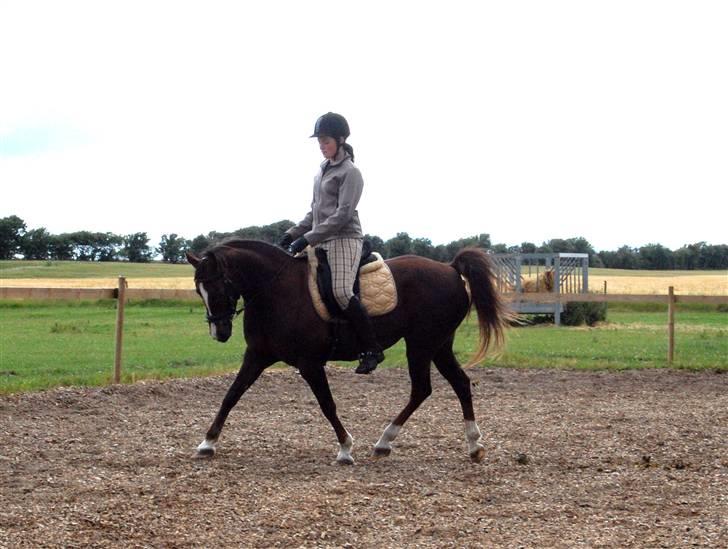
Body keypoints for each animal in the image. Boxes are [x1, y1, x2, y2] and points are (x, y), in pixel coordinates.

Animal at [185, 240, 510, 462]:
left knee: (422, 389)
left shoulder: (310, 363)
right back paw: (472, 445)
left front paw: (345, 448)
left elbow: (327, 405)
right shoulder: (257, 356)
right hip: (439, 346)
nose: (219, 333)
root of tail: (451, 268)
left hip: (422, 344)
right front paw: (208, 443)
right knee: (459, 384)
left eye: (218, 287)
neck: (276, 291)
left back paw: (385, 440)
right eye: (199, 290)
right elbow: (231, 395)